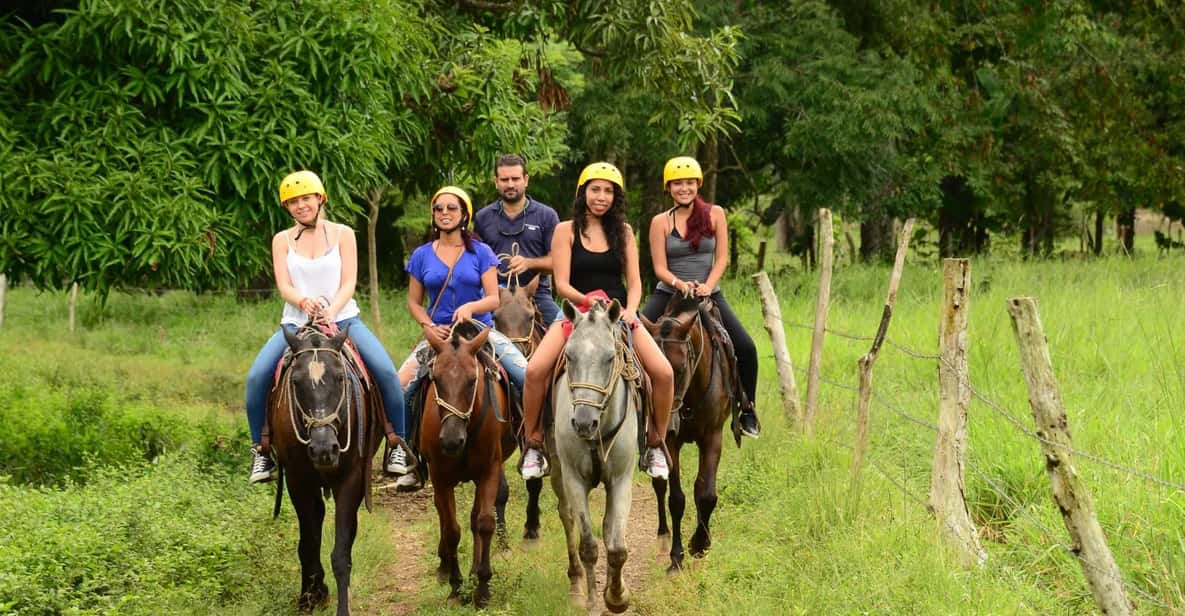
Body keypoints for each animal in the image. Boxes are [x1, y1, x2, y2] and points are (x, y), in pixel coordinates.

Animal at [266, 324, 381, 611]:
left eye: (340, 378)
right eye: (295, 382)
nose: (323, 449)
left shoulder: (351, 480)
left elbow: (341, 552)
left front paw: (343, 606)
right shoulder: (298, 481)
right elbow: (307, 543)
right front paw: (310, 596)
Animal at [421, 322, 514, 606]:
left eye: (473, 380)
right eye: (436, 379)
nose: (451, 441)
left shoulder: (489, 471)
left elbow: (484, 523)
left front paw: (482, 587)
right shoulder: (440, 478)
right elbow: (451, 530)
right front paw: (456, 587)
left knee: (474, 519)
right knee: (443, 516)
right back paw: (444, 568)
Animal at [547, 298, 639, 611]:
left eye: (610, 358)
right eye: (569, 356)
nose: (584, 423)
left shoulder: (621, 480)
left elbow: (617, 546)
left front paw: (617, 596)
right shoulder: (574, 480)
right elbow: (588, 545)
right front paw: (593, 602)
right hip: (557, 472)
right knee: (567, 517)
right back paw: (575, 585)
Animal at [644, 296, 734, 570]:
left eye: (681, 368)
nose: (667, 420)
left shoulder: (713, 437)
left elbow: (706, 494)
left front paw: (700, 544)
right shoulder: (670, 443)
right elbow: (676, 499)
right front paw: (676, 557)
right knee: (659, 485)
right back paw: (663, 537)